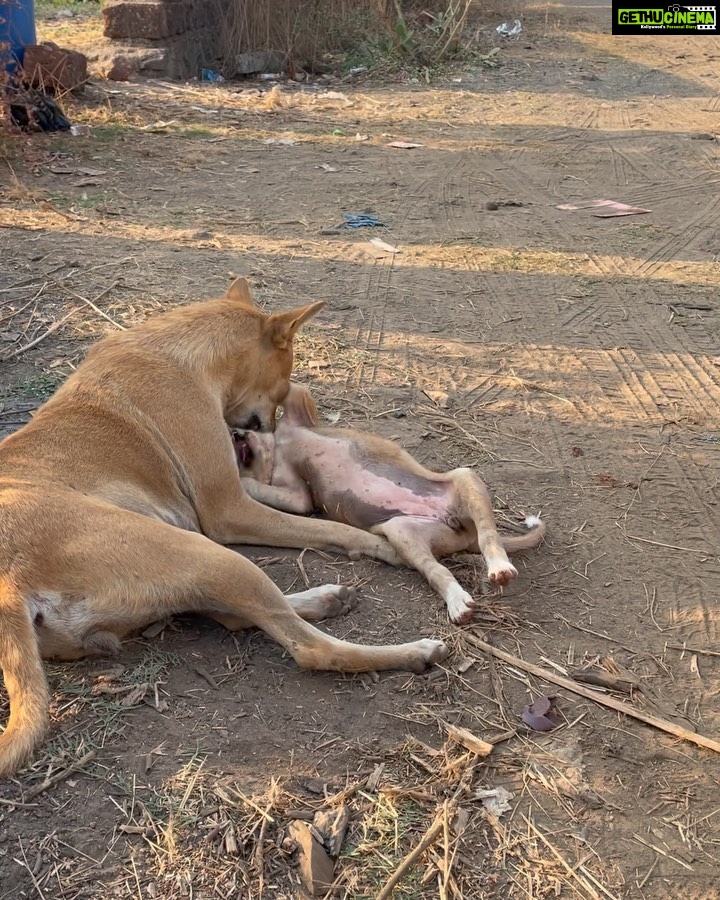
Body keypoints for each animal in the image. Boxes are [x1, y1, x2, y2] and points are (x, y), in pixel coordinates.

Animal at [0, 278, 448, 776]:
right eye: (283, 386)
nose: (263, 430)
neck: (180, 352)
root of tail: (10, 585)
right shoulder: (229, 509)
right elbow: (329, 529)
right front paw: (380, 544)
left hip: (189, 565)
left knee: (238, 615)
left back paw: (323, 599)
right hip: (207, 555)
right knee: (309, 647)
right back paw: (413, 651)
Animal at [233, 382, 544, 624]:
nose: (236, 434)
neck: (277, 447)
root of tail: (461, 530)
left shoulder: (300, 408)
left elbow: (292, 388)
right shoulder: (297, 497)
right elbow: (266, 488)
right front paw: (244, 481)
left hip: (465, 478)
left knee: (489, 537)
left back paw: (498, 568)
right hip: (403, 532)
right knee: (438, 570)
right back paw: (459, 601)